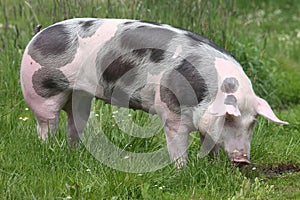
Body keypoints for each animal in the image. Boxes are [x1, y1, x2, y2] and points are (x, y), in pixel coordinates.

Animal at [19, 18, 288, 166]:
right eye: (229, 118)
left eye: (252, 123)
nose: (243, 159)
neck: (211, 93)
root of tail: (38, 33)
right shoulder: (171, 110)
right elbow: (177, 144)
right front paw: (182, 171)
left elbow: (209, 142)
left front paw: (212, 166)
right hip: (39, 91)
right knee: (46, 125)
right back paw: (48, 150)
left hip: (80, 97)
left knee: (75, 123)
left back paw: (73, 152)